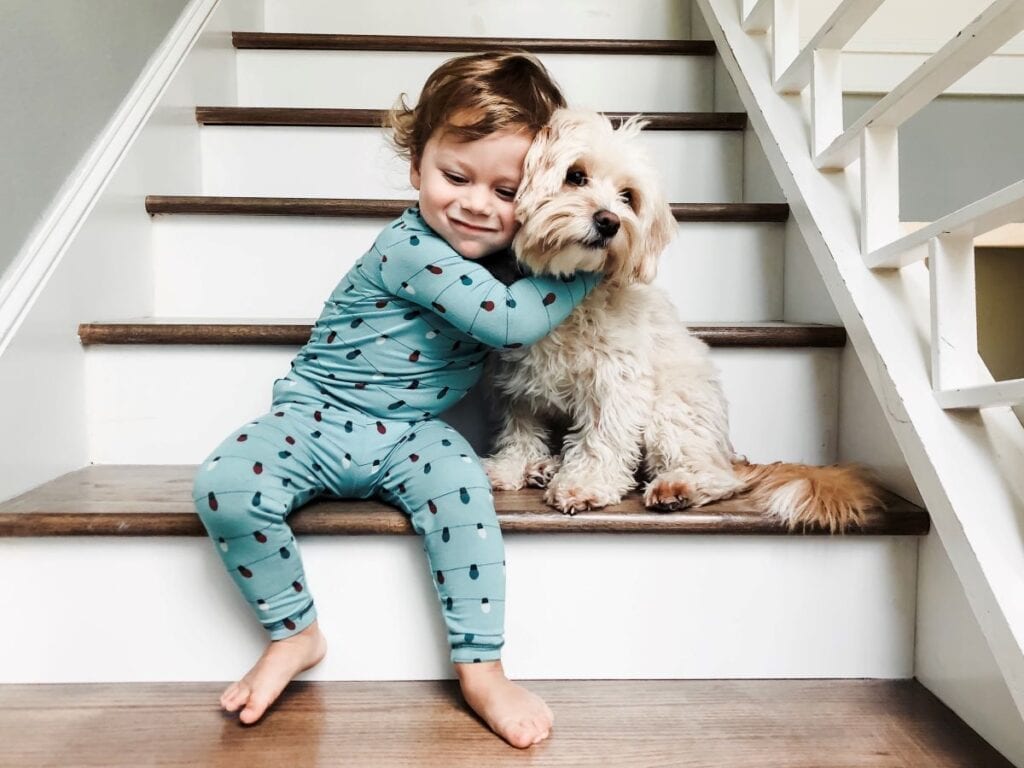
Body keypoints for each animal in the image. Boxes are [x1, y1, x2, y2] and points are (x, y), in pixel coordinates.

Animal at [483, 108, 876, 532]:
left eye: (628, 197)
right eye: (575, 175)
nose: (609, 222)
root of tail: (729, 452)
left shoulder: (616, 381)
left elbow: (602, 437)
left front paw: (584, 484)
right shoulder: (521, 387)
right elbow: (520, 432)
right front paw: (511, 467)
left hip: (671, 409)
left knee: (717, 477)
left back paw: (677, 487)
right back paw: (544, 467)